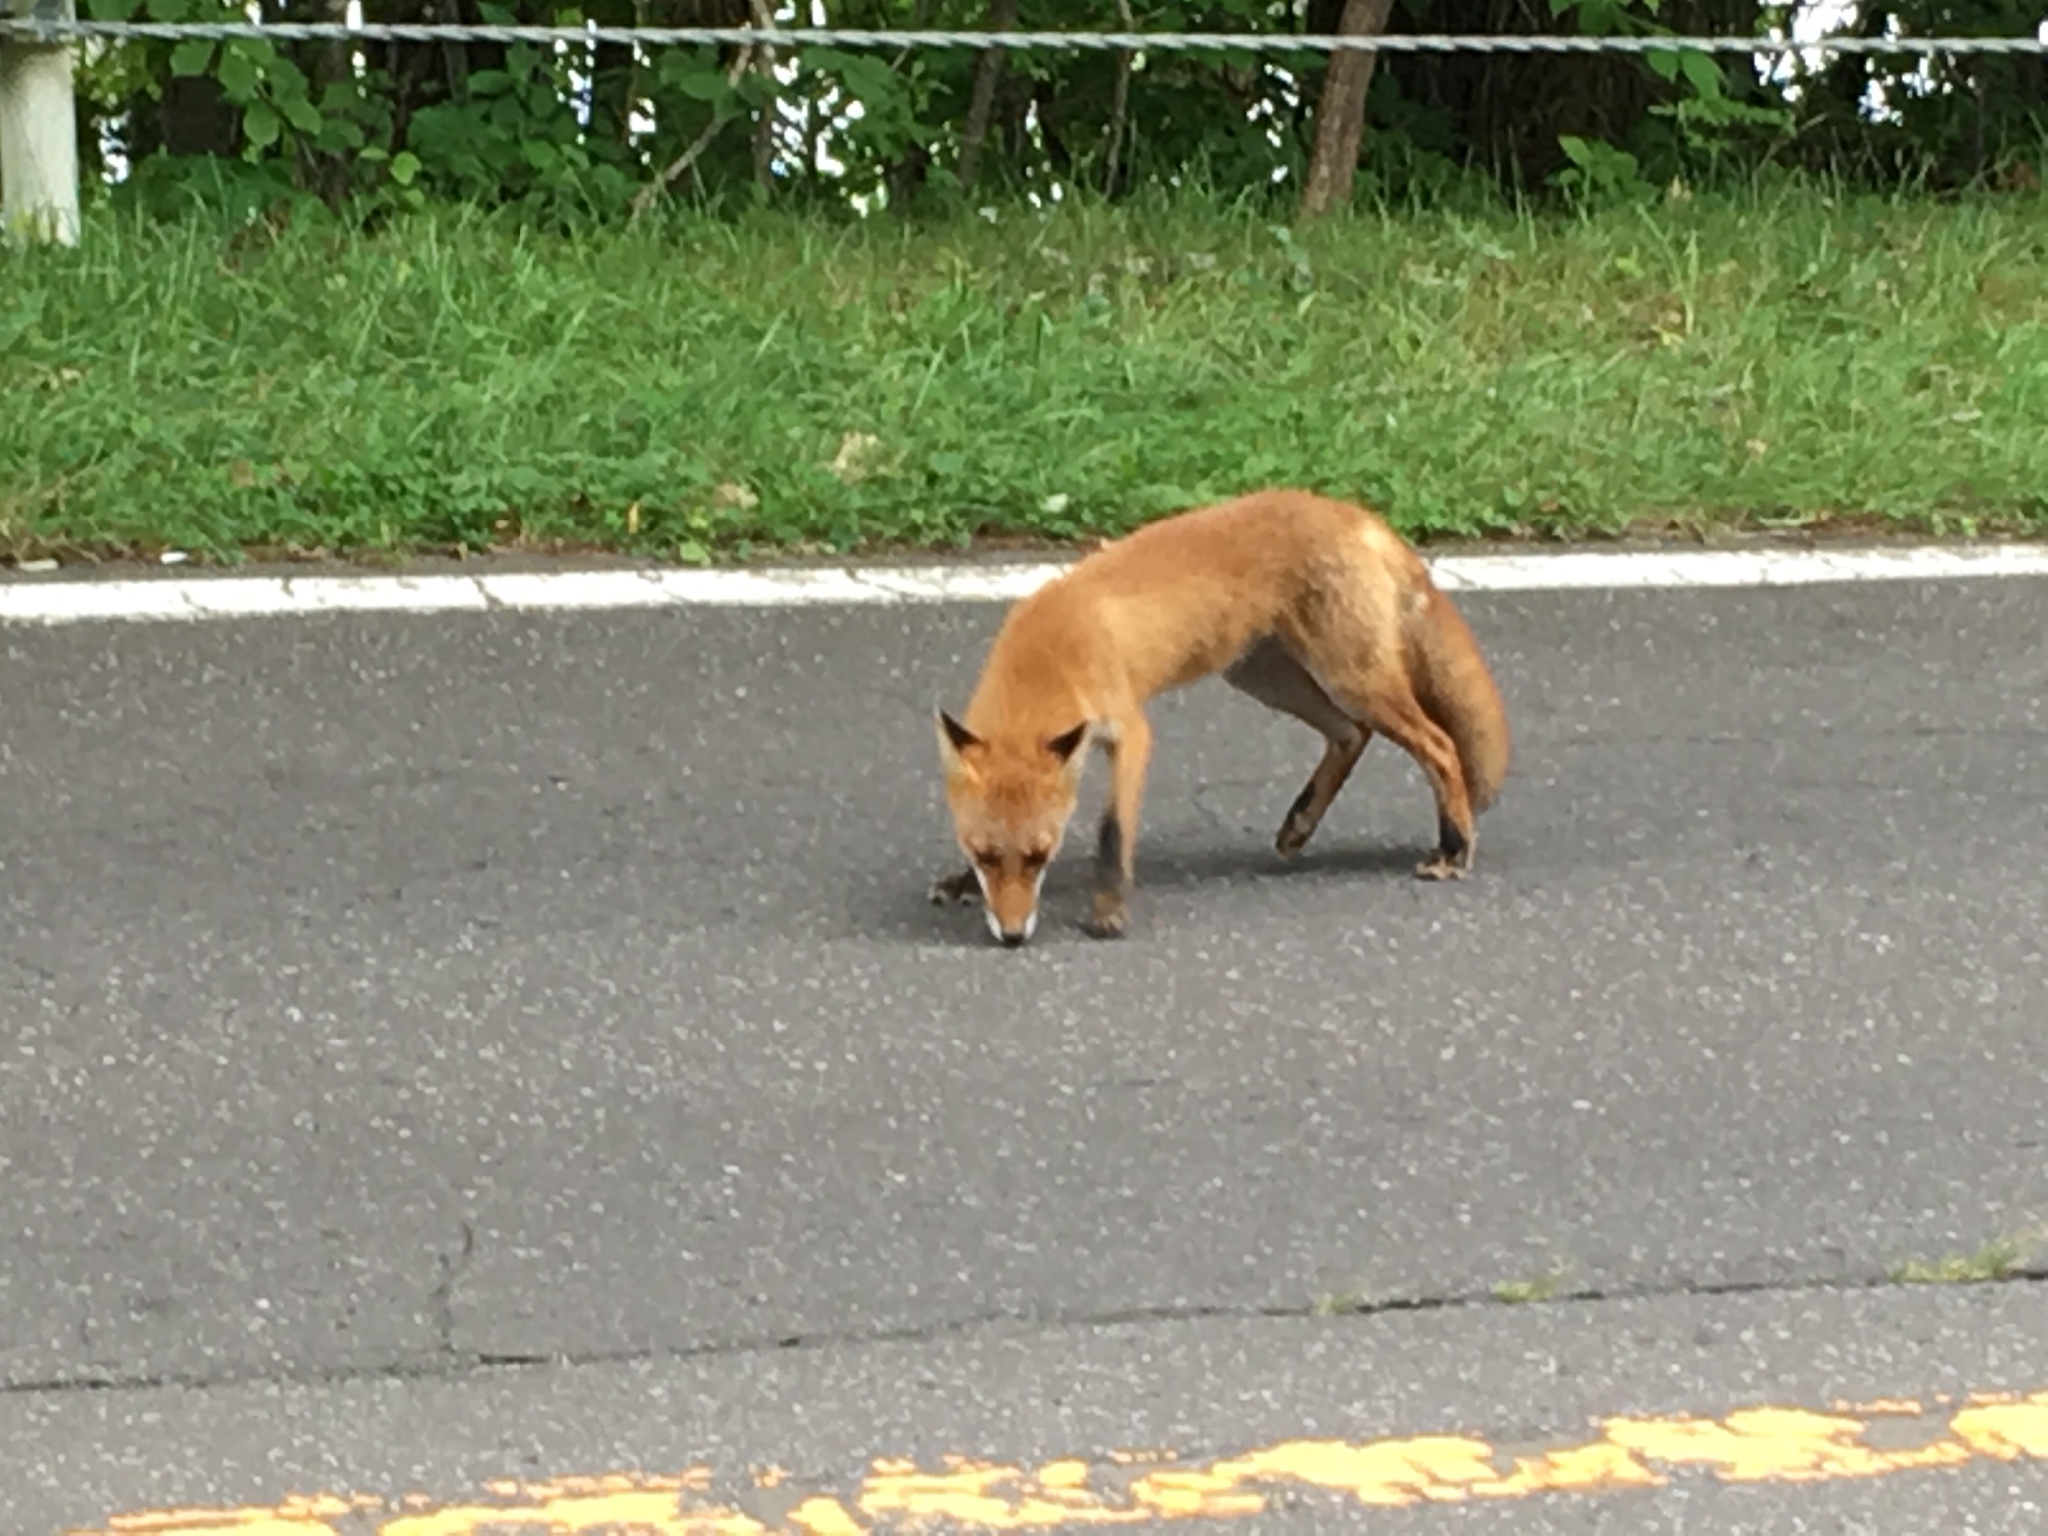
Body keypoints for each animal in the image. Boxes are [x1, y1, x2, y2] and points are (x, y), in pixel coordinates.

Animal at [929, 493, 1507, 950]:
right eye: (984, 854)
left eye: (1039, 856)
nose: (1012, 937)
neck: (1048, 657)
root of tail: (1351, 512)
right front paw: (963, 884)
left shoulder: (1131, 732)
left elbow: (1112, 832)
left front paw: (1109, 909)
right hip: (1263, 677)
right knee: (1350, 734)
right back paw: (1301, 822)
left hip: (1350, 678)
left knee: (1438, 744)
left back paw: (1454, 848)